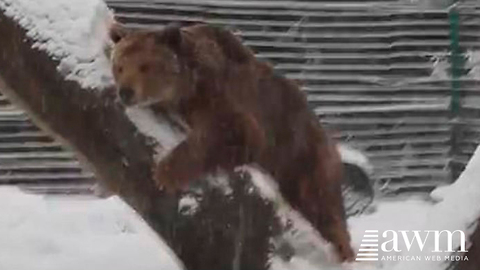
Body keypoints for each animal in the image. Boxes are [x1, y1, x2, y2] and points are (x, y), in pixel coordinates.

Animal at [110, 23, 354, 262]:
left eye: (144, 66)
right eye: (119, 66)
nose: (126, 92)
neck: (186, 88)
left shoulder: (225, 100)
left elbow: (227, 131)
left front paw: (164, 173)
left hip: (303, 158)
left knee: (323, 207)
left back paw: (343, 250)